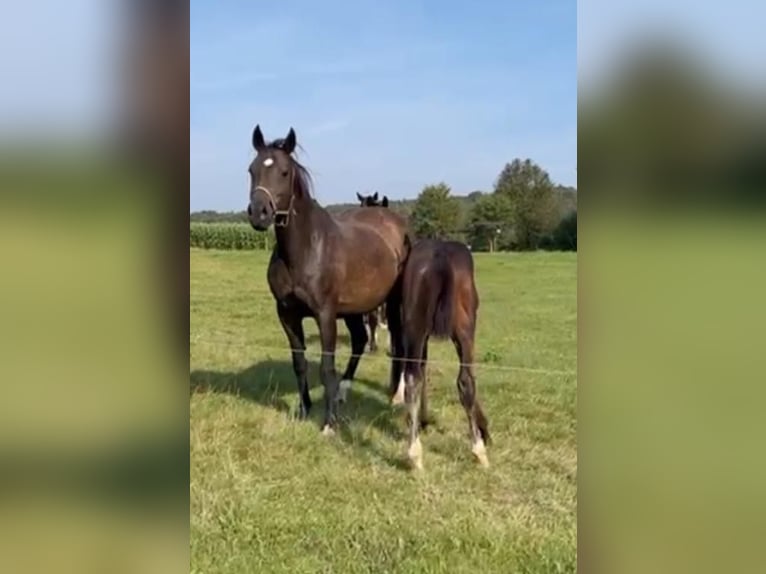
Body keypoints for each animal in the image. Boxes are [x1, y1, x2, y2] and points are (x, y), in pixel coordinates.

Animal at [247, 125, 411, 434]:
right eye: (251, 170)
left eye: (285, 172)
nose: (259, 213)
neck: (305, 249)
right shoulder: (287, 314)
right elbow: (299, 363)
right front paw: (304, 410)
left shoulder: (325, 314)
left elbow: (326, 367)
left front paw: (329, 424)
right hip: (354, 309)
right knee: (360, 341)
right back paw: (343, 392)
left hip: (393, 306)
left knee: (400, 346)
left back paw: (398, 395)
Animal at [391, 238, 490, 469]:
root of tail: (440, 256)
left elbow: (422, 368)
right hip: (464, 327)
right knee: (466, 379)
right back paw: (479, 450)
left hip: (415, 326)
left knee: (414, 377)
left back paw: (415, 453)